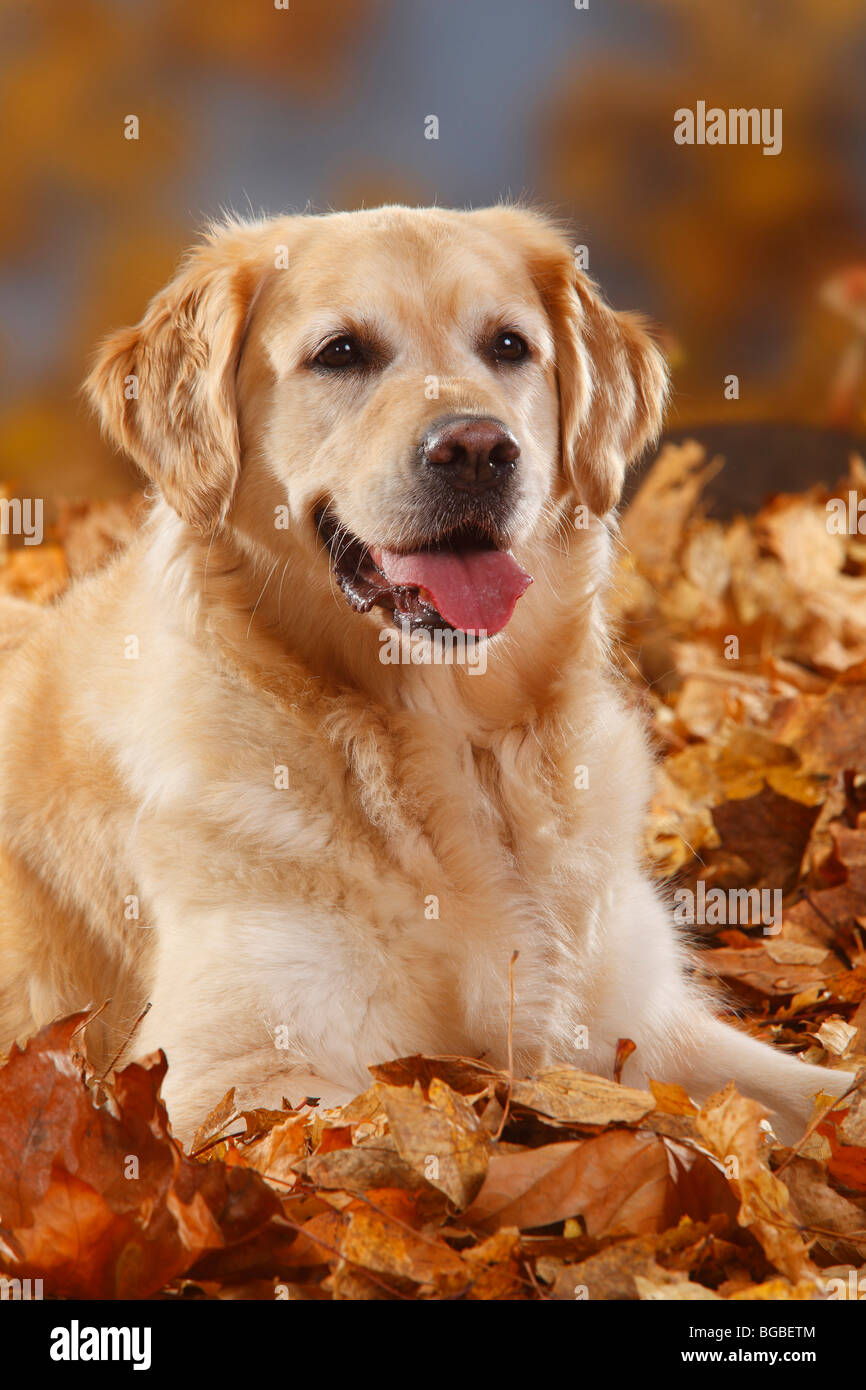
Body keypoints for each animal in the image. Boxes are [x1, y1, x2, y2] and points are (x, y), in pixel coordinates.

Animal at [0, 205, 845, 1139]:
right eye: (341, 352)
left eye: (509, 345)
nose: (477, 448)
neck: (454, 747)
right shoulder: (232, 1081)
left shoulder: (645, 1018)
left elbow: (819, 1096)